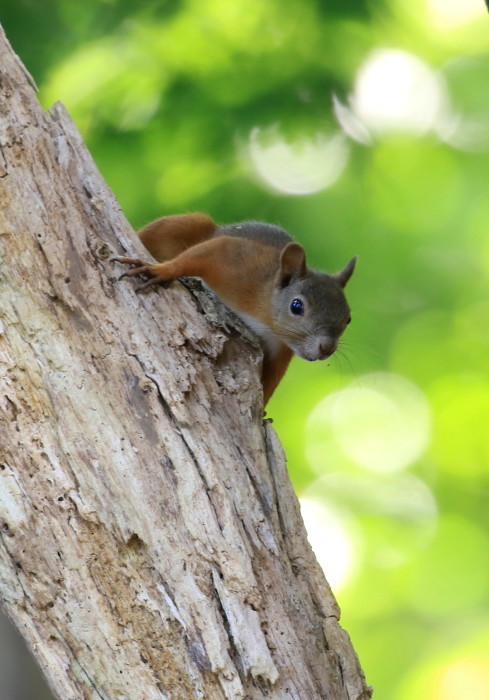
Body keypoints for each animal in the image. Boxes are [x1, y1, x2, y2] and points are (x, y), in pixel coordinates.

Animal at [110, 212, 354, 404]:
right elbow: (197, 257)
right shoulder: (236, 258)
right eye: (297, 306)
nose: (326, 348)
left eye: (348, 319)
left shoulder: (280, 349)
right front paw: (160, 271)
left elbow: (270, 381)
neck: (264, 314)